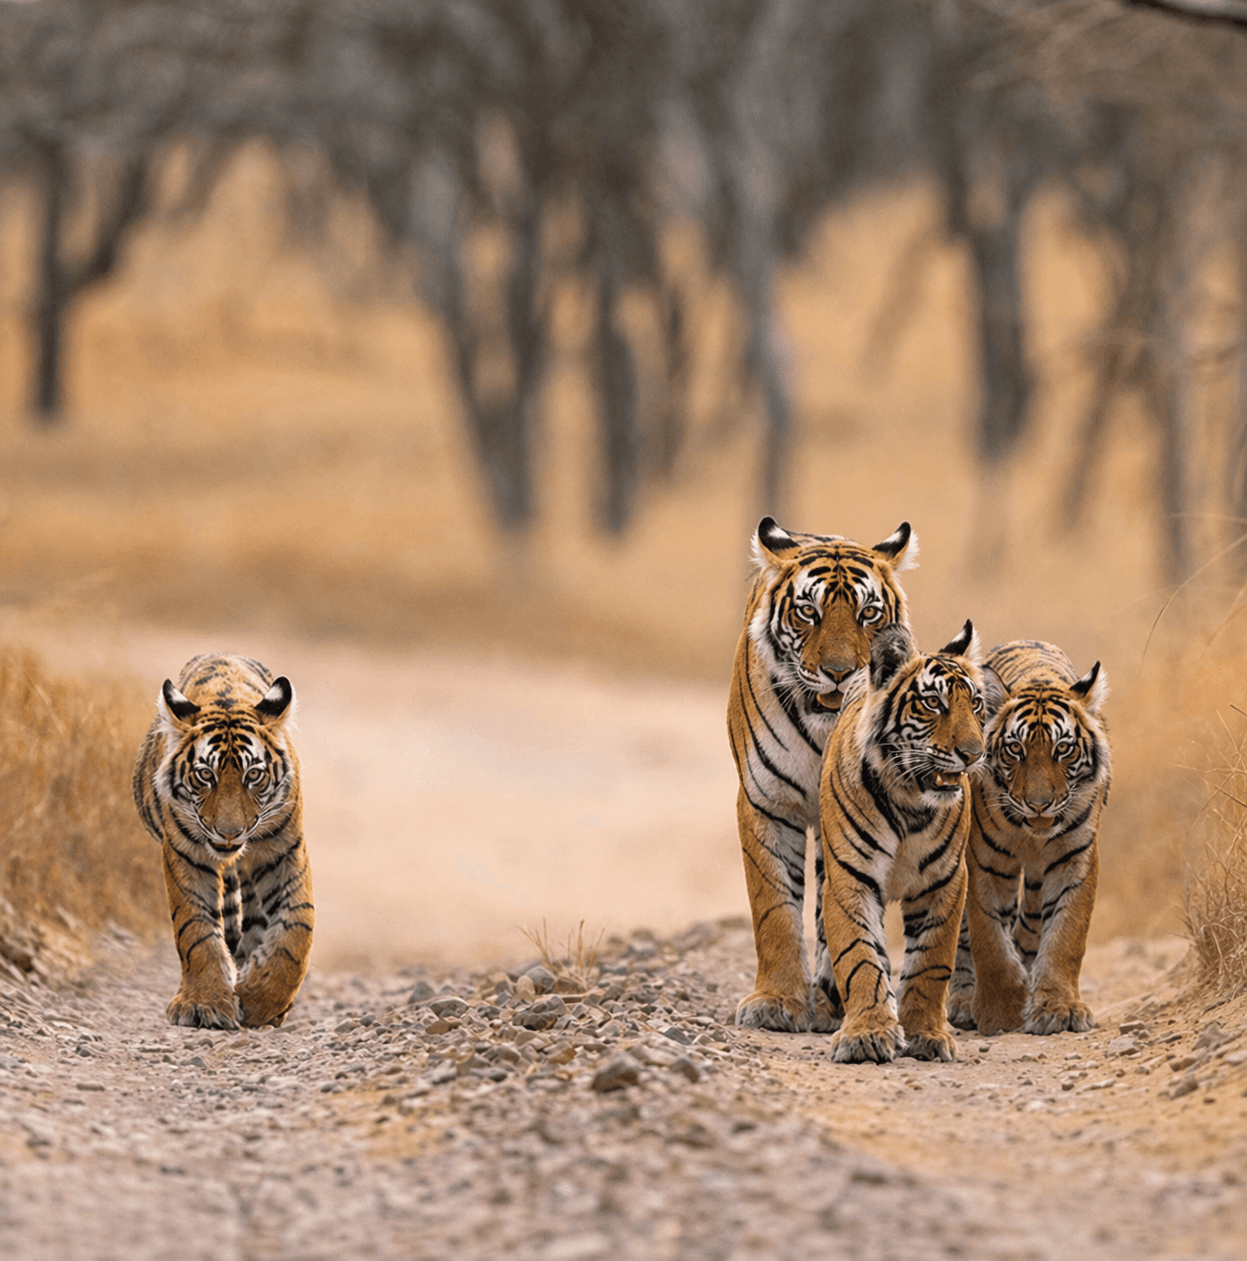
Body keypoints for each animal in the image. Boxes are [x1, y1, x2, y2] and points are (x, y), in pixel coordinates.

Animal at [133, 654, 314, 1030]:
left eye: (254, 775)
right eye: (205, 775)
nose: (229, 832)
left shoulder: (284, 853)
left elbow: (297, 932)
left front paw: (261, 1000)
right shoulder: (185, 857)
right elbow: (195, 929)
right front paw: (205, 1004)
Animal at [727, 515, 918, 1032]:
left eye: (868, 614)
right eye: (808, 613)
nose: (839, 672)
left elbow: (840, 911)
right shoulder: (767, 802)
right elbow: (773, 908)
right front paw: (775, 1002)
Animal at [820, 620, 985, 1063]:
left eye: (976, 705)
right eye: (932, 703)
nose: (974, 753)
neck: (910, 802)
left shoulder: (945, 882)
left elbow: (931, 963)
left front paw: (926, 1033)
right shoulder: (850, 878)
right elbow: (859, 955)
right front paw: (867, 1033)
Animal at [946, 640, 1110, 1036]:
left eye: (1063, 749)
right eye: (1015, 750)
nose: (1039, 805)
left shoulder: (1074, 859)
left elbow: (1066, 936)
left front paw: (1058, 1008)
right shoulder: (985, 861)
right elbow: (987, 936)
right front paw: (1000, 1011)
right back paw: (962, 1002)